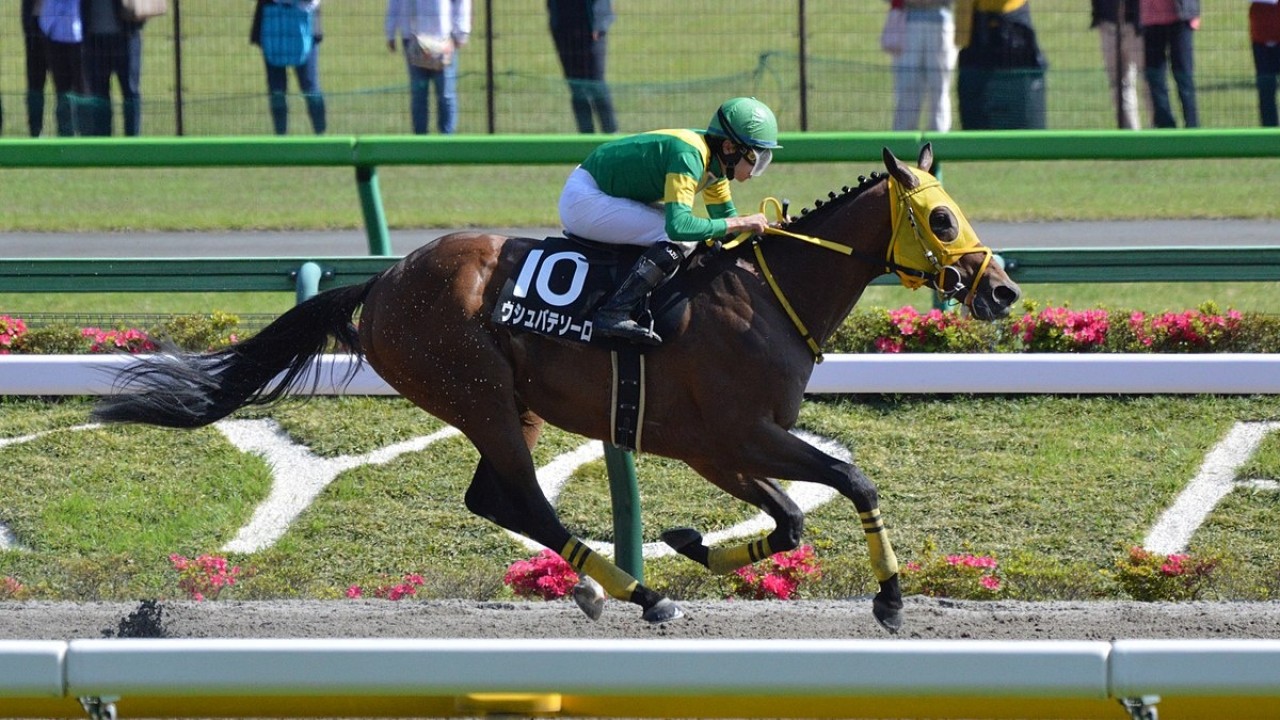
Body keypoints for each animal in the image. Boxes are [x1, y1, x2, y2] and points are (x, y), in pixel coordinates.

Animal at [92, 144, 1018, 627]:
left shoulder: (718, 447)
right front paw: (891, 597)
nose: (1003, 290)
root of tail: (383, 281)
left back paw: (606, 585)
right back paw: (642, 596)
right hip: (477, 394)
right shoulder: (737, 434)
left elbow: (790, 519)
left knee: (493, 499)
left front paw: (689, 539)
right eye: (941, 218)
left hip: (512, 405)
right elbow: (845, 483)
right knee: (523, 502)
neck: (764, 294)